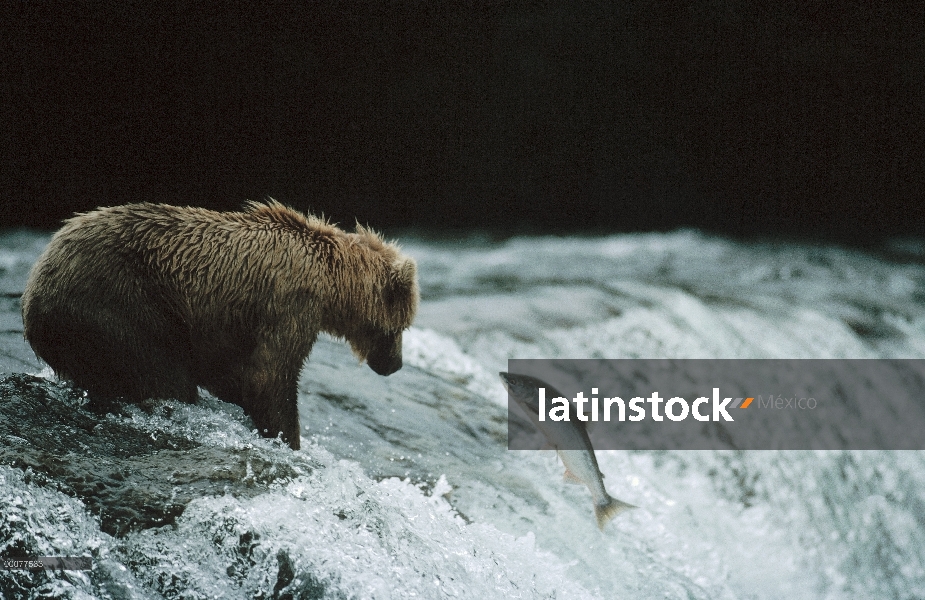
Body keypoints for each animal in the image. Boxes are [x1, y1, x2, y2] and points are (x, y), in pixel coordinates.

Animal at [21, 203, 418, 450]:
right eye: (402, 327)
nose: (395, 364)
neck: (333, 283)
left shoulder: (223, 328)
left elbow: (231, 372)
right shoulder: (290, 305)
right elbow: (269, 376)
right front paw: (289, 440)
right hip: (118, 301)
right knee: (163, 372)